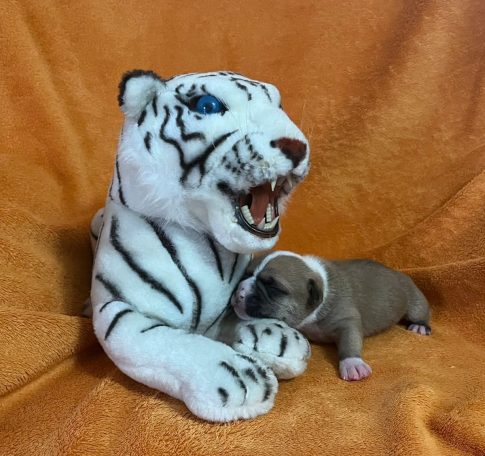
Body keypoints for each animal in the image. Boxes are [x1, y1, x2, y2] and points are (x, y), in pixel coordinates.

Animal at [232, 249, 432, 382]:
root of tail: (398, 272)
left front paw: (352, 363)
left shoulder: (347, 321)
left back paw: (420, 326)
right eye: (246, 274)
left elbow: (350, 340)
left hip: (414, 300)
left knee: (420, 311)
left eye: (273, 287)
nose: (239, 292)